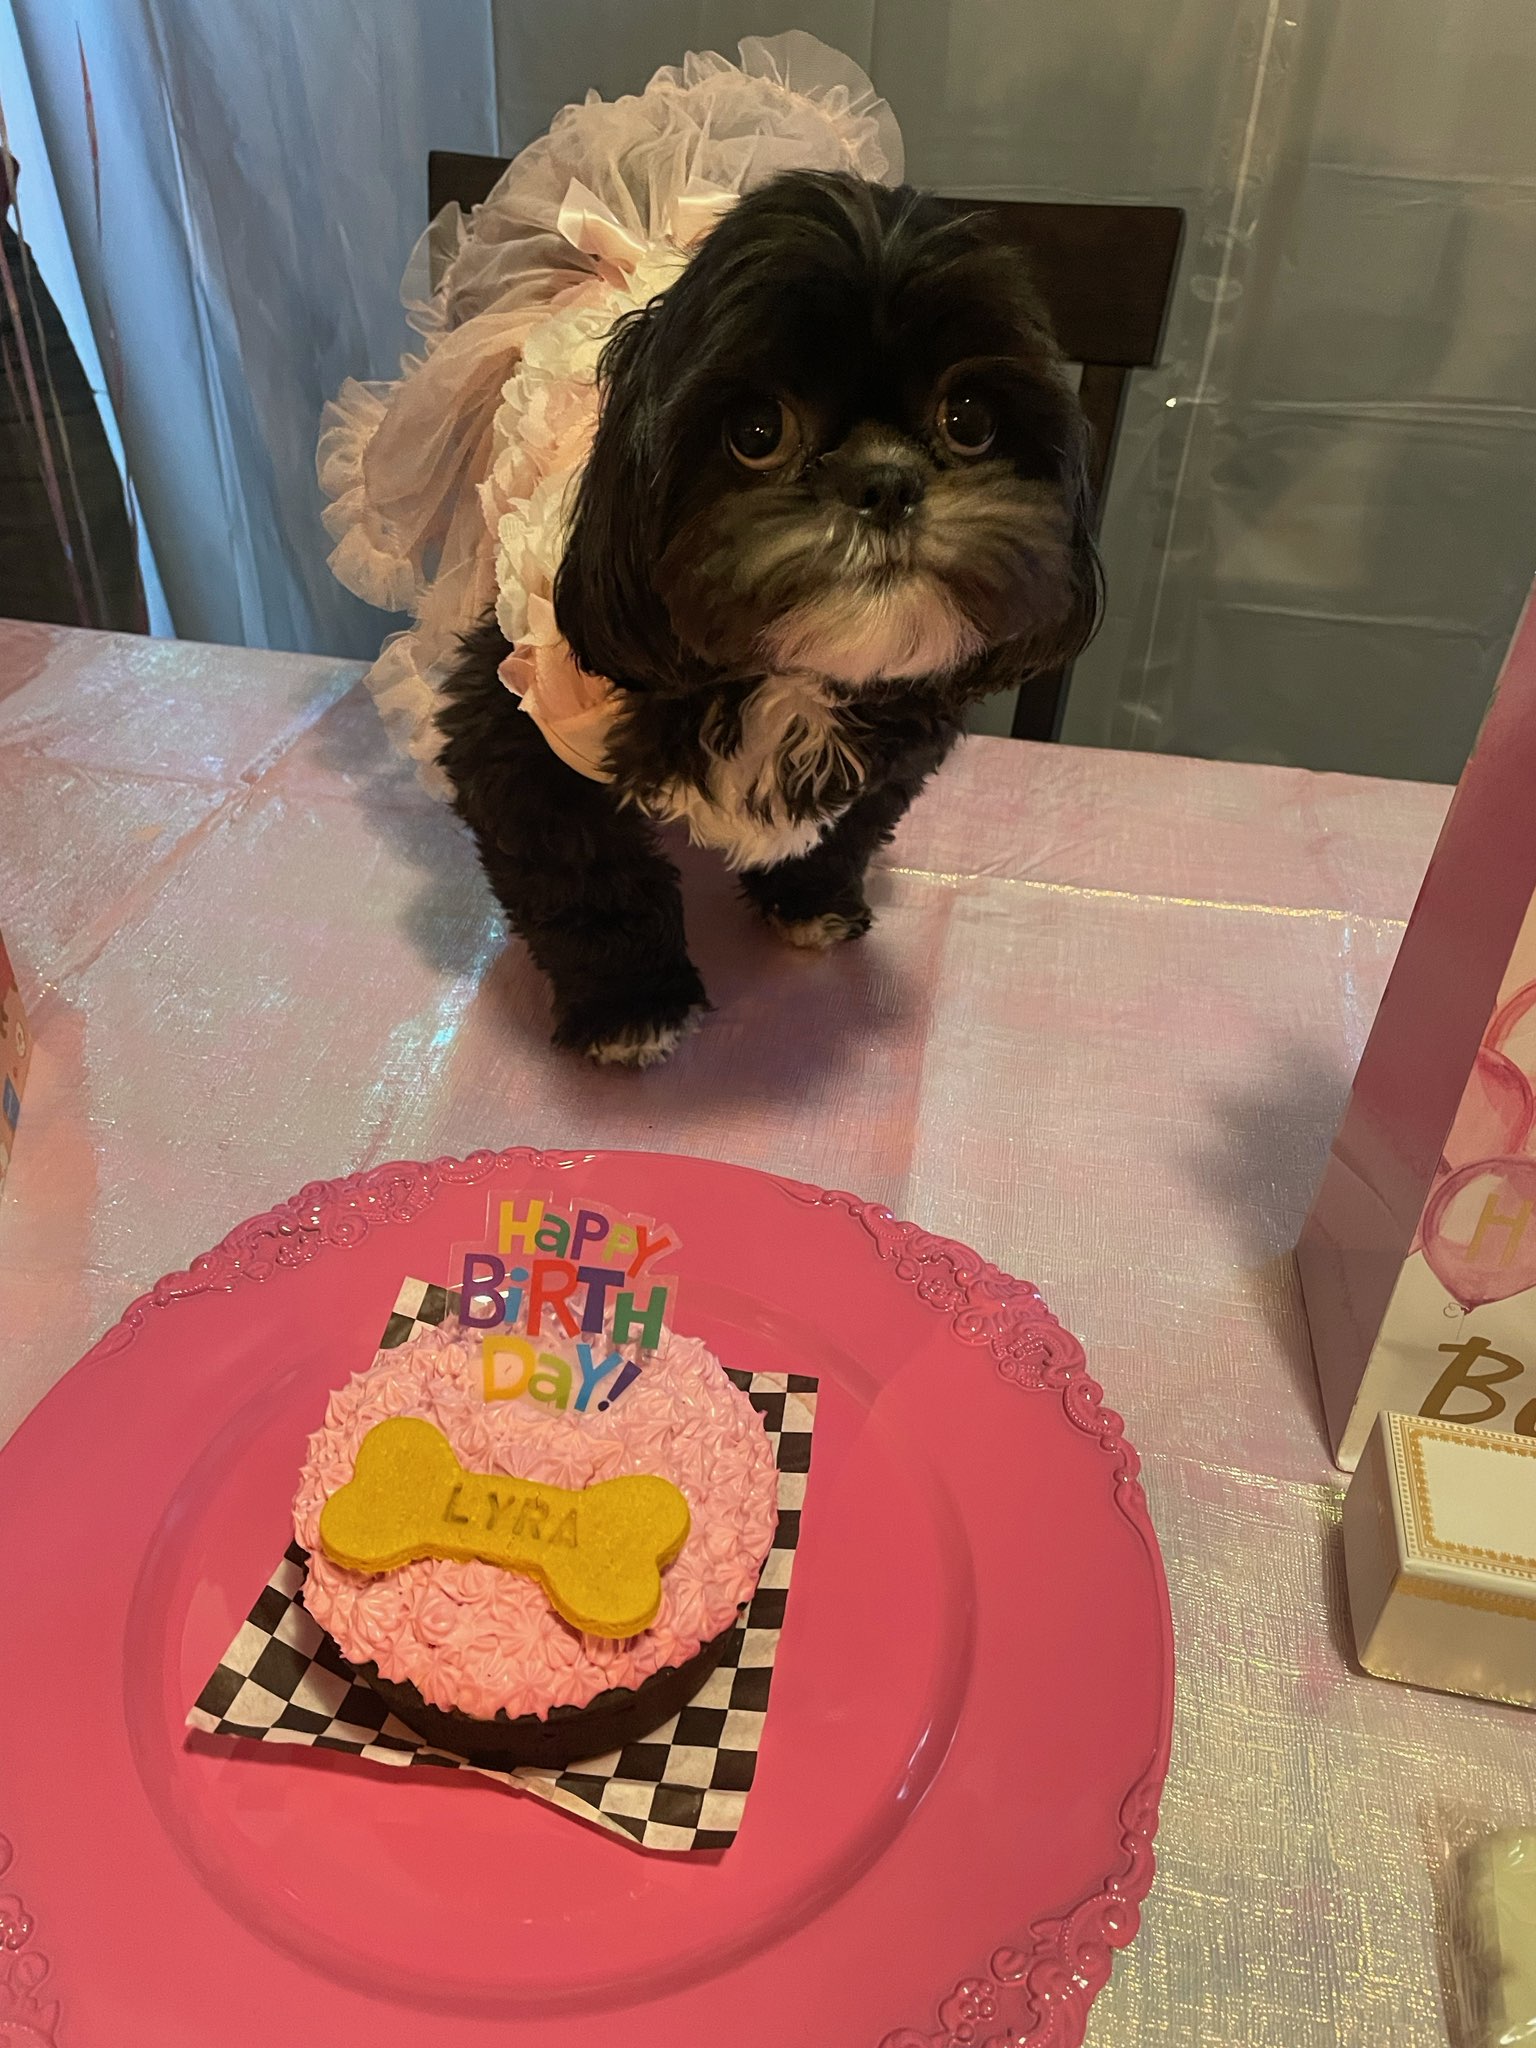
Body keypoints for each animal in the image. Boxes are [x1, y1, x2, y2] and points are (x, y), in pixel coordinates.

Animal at [438, 172, 1097, 1073]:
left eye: (969, 420)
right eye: (757, 431)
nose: (887, 482)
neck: (786, 676)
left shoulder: (902, 744)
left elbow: (851, 824)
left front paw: (808, 900)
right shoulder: (515, 735)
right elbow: (588, 882)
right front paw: (631, 1004)